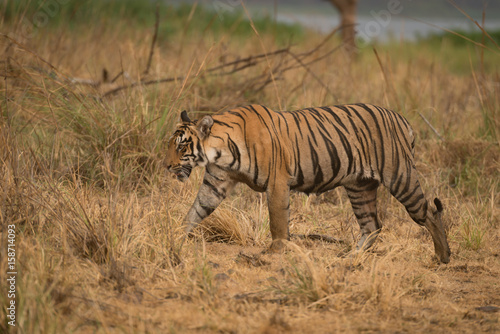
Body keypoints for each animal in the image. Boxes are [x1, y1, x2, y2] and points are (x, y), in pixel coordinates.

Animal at [166, 103, 452, 264]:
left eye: (181, 146)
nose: (167, 166)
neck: (220, 152)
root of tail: (402, 119)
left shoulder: (277, 182)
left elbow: (277, 221)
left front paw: (275, 252)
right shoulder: (215, 184)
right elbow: (194, 212)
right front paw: (175, 237)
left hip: (401, 178)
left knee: (430, 212)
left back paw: (442, 256)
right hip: (360, 186)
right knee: (372, 226)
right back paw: (350, 258)